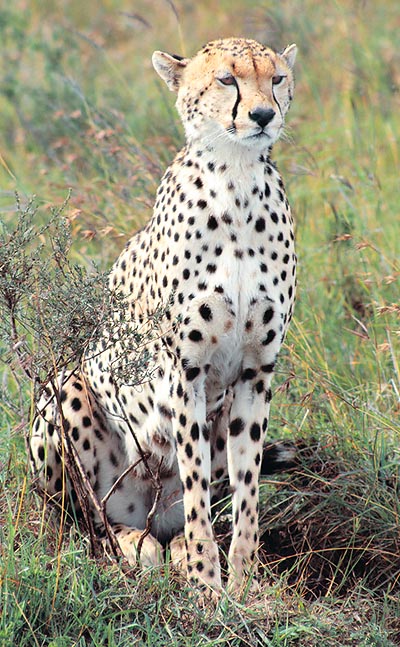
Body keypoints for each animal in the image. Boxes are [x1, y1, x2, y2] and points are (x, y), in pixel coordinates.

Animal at [30, 39, 296, 596]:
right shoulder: (184, 370)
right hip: (63, 392)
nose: (263, 115)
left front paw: (242, 584)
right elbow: (195, 486)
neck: (238, 179)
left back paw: (168, 548)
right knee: (85, 521)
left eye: (278, 78)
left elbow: (246, 488)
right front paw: (205, 584)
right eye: (227, 79)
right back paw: (133, 546)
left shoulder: (256, 372)